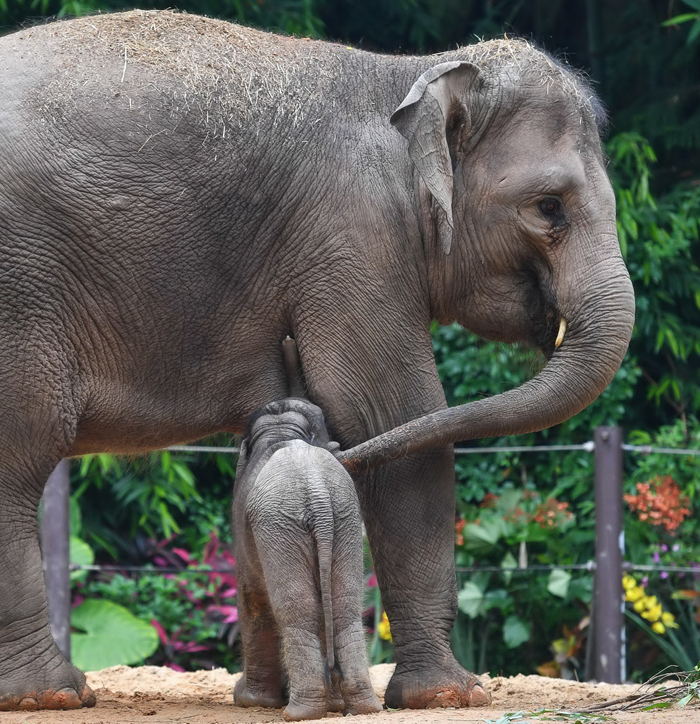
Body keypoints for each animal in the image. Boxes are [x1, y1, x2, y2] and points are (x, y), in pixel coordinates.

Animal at [232, 398, 380, 720]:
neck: (282, 434)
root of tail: (317, 493)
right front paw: (334, 704)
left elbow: (252, 600)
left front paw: (248, 700)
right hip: (344, 515)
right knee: (344, 608)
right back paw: (363, 707)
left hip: (280, 525)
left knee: (297, 612)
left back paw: (300, 712)